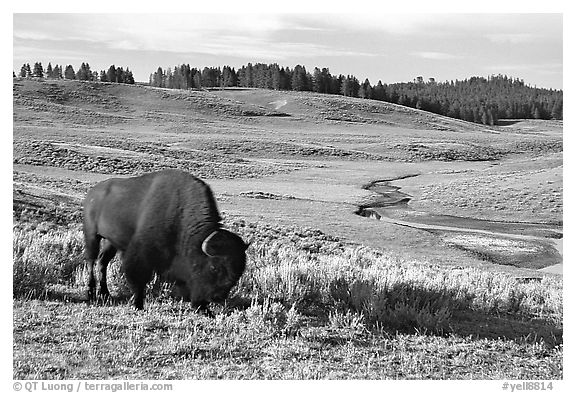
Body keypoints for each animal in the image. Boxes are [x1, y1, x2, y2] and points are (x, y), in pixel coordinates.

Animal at [82, 168, 248, 310]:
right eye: (214, 267)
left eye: (239, 271)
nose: (217, 297)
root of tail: (92, 193)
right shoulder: (140, 254)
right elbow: (138, 278)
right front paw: (138, 305)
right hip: (92, 235)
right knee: (91, 260)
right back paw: (91, 293)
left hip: (111, 242)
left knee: (102, 262)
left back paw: (105, 294)